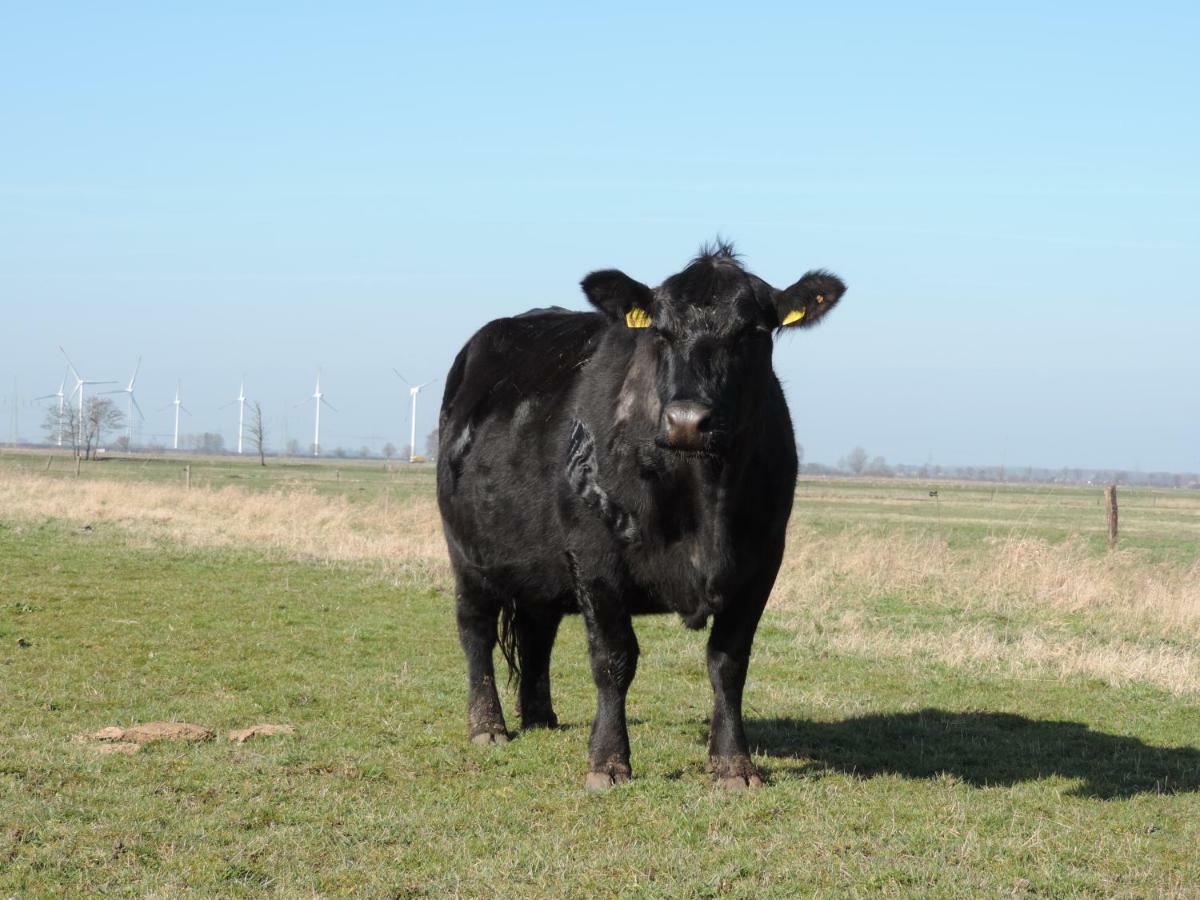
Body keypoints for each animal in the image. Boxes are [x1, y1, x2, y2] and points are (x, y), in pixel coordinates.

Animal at [439, 243, 844, 792]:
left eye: (752, 333)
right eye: (660, 332)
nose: (688, 421)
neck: (705, 500)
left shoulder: (762, 562)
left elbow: (728, 662)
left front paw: (733, 765)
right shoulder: (594, 557)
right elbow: (614, 659)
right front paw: (608, 762)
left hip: (541, 562)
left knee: (537, 630)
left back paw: (541, 717)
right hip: (467, 553)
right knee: (476, 628)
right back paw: (488, 726)